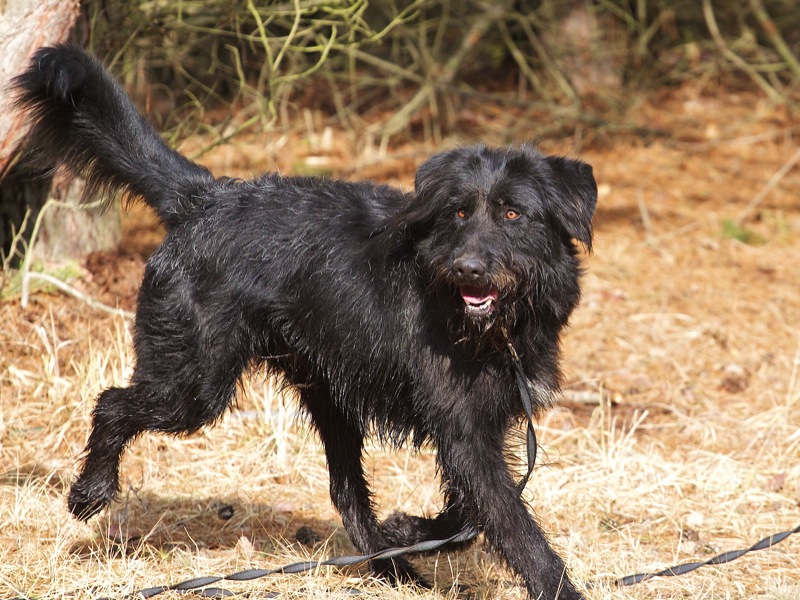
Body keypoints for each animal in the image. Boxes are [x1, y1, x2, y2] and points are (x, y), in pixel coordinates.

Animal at [14, 45, 596, 599]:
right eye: (456, 212)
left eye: (513, 213)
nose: (467, 269)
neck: (497, 331)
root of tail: (204, 197)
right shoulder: (464, 432)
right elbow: (512, 523)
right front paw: (558, 588)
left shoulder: (482, 428)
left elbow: (474, 512)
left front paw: (410, 528)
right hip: (194, 384)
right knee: (112, 403)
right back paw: (90, 491)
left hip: (330, 394)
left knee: (346, 492)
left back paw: (393, 565)